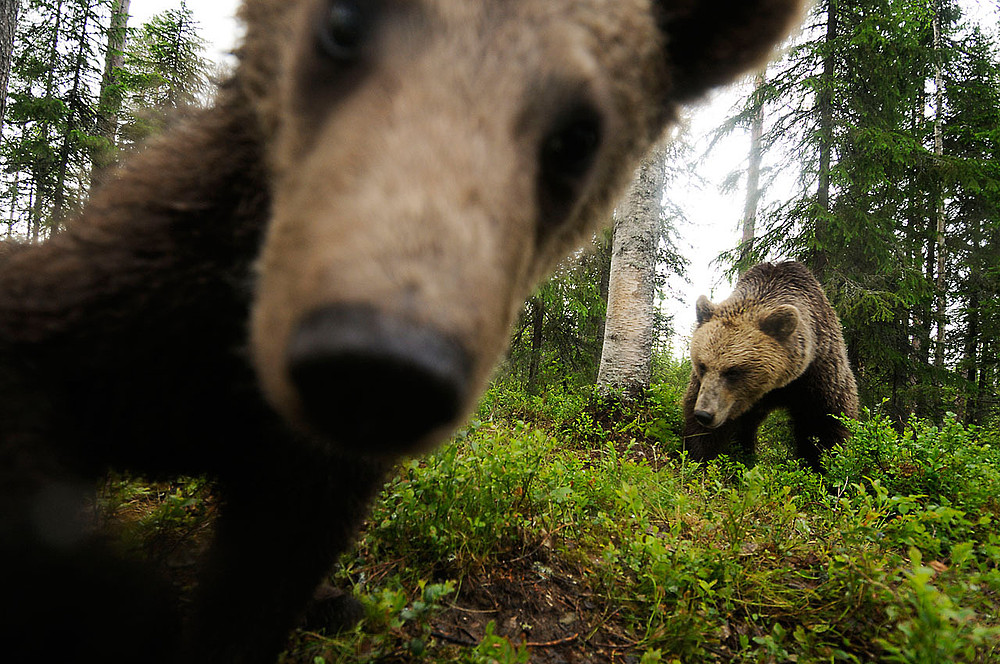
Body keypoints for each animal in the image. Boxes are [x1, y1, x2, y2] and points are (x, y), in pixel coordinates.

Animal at [0, 1, 804, 664]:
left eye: (579, 137)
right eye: (344, 22)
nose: (377, 363)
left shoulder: (311, 480)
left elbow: (263, 585)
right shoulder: (146, 289)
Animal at [684, 262, 856, 470]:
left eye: (733, 371)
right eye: (702, 365)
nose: (704, 414)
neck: (775, 387)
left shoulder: (818, 374)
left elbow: (824, 424)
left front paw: (821, 466)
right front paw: (701, 457)